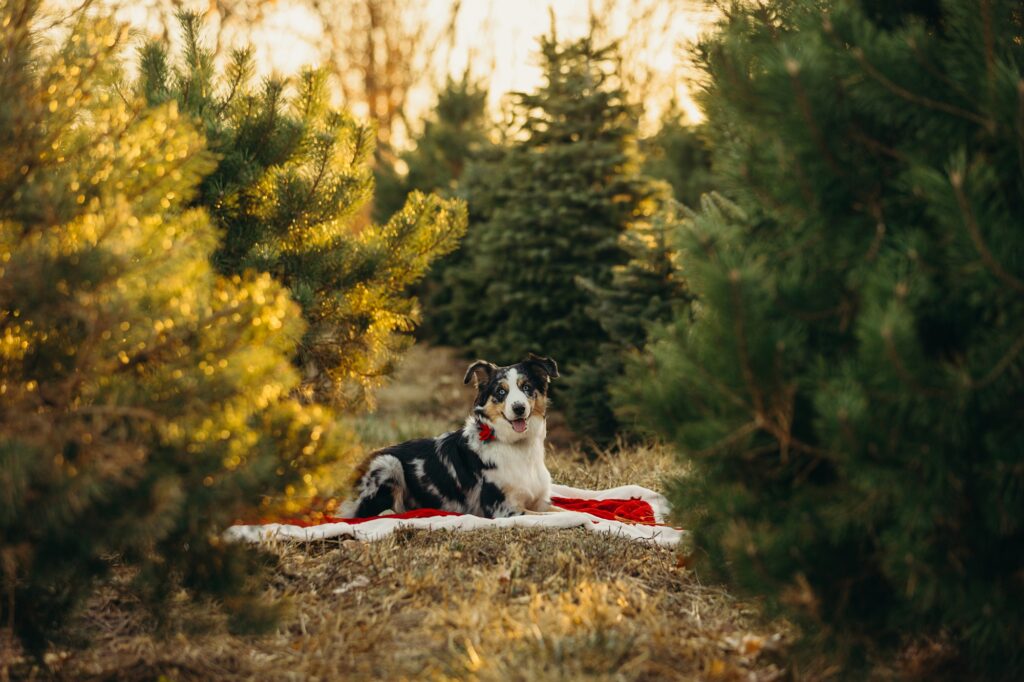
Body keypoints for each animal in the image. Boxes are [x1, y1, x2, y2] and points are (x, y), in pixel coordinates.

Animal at [348, 352, 561, 518]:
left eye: (526, 387)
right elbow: (553, 517)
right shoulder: (502, 509)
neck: (517, 446)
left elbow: (560, 511)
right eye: (501, 392)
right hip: (388, 463)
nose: (519, 408)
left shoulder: (540, 501)